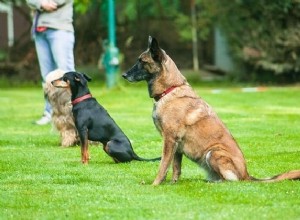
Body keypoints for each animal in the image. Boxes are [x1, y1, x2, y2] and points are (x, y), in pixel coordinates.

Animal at [122, 36, 300, 186]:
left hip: (214, 153)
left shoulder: (170, 140)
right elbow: (175, 168)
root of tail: (246, 175)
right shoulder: (176, 146)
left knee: (230, 181)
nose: (123, 75)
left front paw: (155, 185)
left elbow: (163, 165)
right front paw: (173, 184)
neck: (170, 90)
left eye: (142, 61)